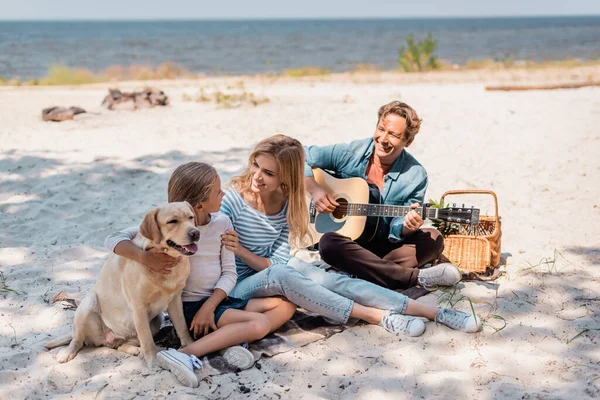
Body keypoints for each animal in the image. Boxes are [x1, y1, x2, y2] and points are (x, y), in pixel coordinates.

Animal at [45, 202, 199, 368]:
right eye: (172, 221)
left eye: (191, 217)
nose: (196, 233)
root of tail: (107, 337)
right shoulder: (138, 307)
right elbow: (148, 341)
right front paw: (153, 361)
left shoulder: (175, 299)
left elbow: (182, 327)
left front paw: (190, 345)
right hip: (88, 304)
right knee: (77, 340)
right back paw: (67, 352)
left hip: (156, 319)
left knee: (119, 344)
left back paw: (133, 349)